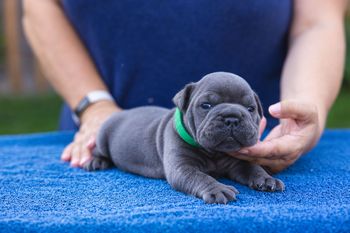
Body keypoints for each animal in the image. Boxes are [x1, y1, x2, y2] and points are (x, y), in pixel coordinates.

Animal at [84, 71, 284, 204]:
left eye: (250, 108)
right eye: (206, 105)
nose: (232, 118)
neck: (215, 153)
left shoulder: (237, 161)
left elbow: (251, 167)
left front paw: (266, 178)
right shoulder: (182, 168)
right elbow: (200, 177)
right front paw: (217, 189)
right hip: (102, 136)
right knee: (99, 150)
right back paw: (95, 161)